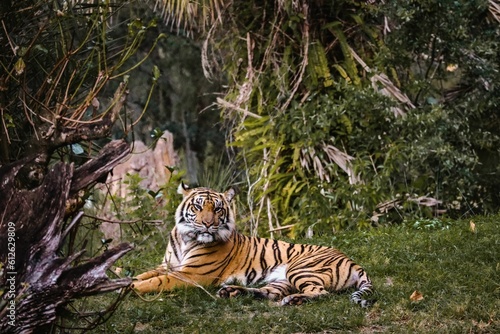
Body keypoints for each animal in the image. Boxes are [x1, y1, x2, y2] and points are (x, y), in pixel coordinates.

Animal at [131, 184, 374, 306]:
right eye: (198, 207)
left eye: (217, 208)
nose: (208, 224)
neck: (186, 238)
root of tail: (352, 260)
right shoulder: (167, 266)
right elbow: (142, 275)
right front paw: (123, 281)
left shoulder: (191, 274)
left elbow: (155, 282)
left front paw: (128, 289)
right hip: (282, 280)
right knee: (268, 293)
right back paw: (232, 292)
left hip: (300, 269)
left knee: (322, 294)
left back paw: (293, 300)